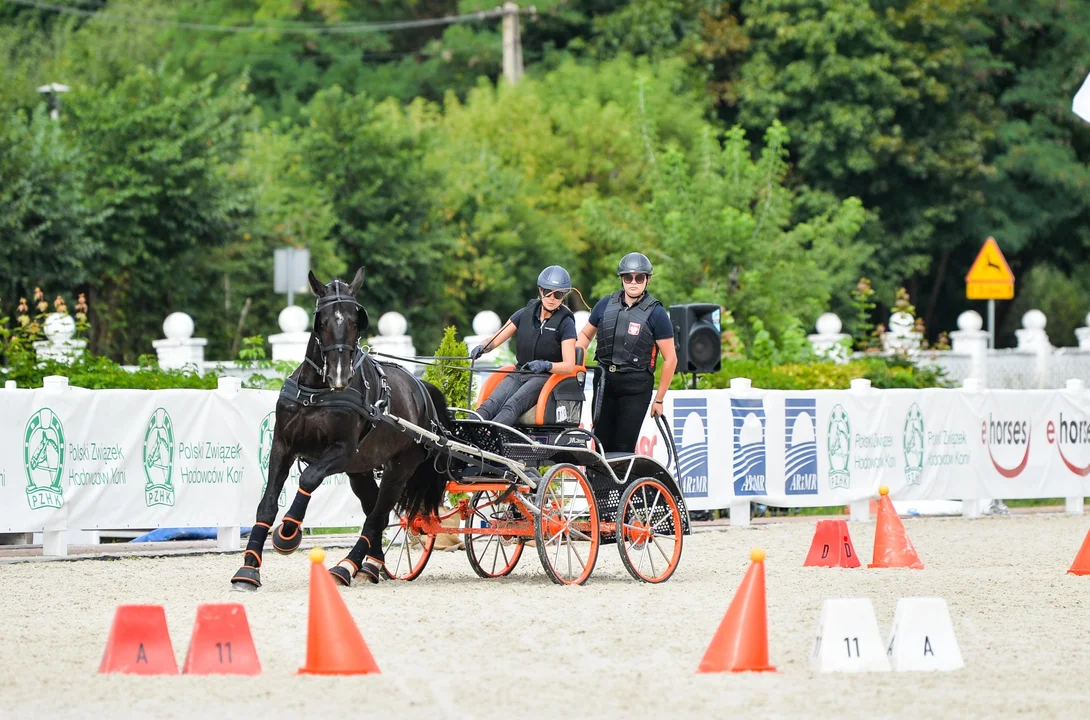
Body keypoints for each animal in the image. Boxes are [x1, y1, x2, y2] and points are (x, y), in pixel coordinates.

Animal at [229, 266, 451, 588]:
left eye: (356, 321)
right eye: (320, 322)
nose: (339, 375)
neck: (317, 391)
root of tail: (421, 389)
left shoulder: (341, 452)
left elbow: (309, 477)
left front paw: (288, 533)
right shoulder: (282, 446)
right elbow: (267, 502)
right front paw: (248, 568)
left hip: (399, 468)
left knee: (378, 515)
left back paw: (347, 567)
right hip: (361, 470)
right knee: (375, 511)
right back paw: (371, 565)